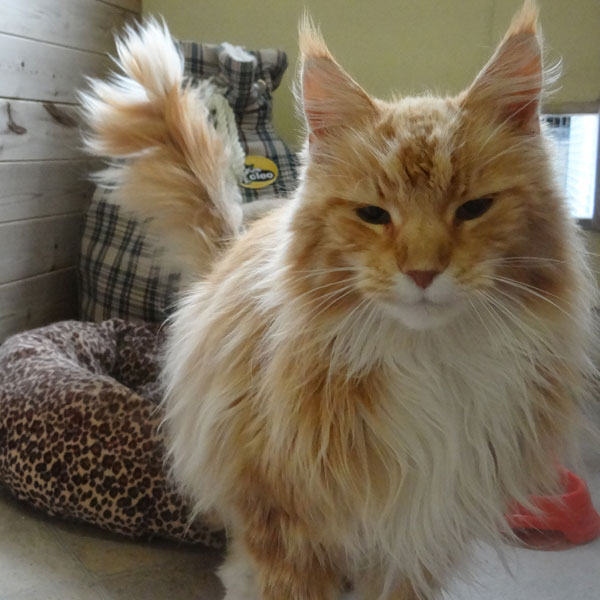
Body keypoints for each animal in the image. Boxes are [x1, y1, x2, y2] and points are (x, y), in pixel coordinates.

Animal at [83, 2, 596, 596]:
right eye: (373, 215)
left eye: (474, 209)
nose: (423, 271)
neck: (427, 364)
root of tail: (231, 247)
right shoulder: (285, 521)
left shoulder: (420, 541)